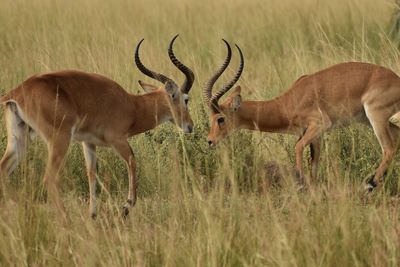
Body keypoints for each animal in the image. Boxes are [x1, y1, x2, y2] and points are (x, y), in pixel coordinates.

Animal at [0, 35, 195, 220]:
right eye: (186, 99)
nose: (190, 126)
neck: (132, 105)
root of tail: (17, 93)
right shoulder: (118, 140)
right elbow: (132, 161)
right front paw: (126, 207)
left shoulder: (88, 142)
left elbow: (91, 174)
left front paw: (93, 214)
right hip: (59, 140)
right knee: (49, 178)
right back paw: (66, 220)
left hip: (20, 138)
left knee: (3, 170)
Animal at [203, 39, 400, 191]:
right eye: (211, 118)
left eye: (220, 118)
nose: (210, 141)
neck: (287, 103)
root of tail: (396, 79)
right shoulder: (314, 135)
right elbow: (314, 163)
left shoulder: (320, 124)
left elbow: (297, 148)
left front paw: (300, 185)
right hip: (368, 119)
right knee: (396, 137)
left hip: (375, 115)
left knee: (388, 147)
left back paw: (370, 184)